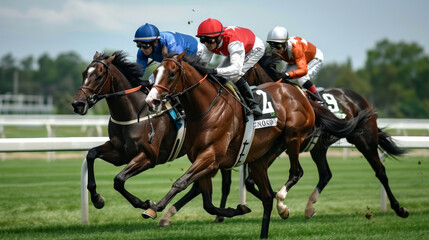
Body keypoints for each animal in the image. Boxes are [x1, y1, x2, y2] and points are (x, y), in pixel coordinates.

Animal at [142, 51, 370, 237]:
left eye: (172, 74)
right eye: (156, 72)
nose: (151, 101)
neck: (207, 109)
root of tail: (301, 96)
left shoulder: (210, 156)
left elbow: (181, 183)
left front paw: (153, 207)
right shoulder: (204, 161)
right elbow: (207, 203)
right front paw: (237, 209)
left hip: (293, 138)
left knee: (296, 173)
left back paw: (283, 204)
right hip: (261, 158)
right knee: (268, 196)